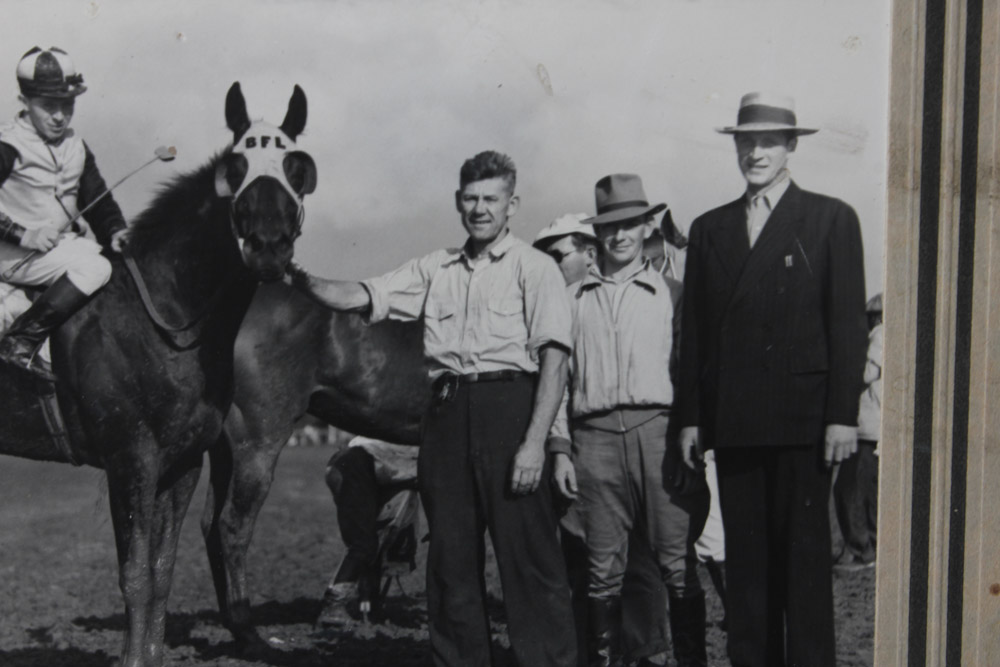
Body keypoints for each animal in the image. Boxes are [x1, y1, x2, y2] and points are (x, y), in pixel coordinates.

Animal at [0, 81, 316, 667]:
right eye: (236, 166)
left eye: (297, 166)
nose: (268, 246)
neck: (161, 319)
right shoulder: (130, 460)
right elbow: (134, 576)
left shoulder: (184, 462)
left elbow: (162, 571)